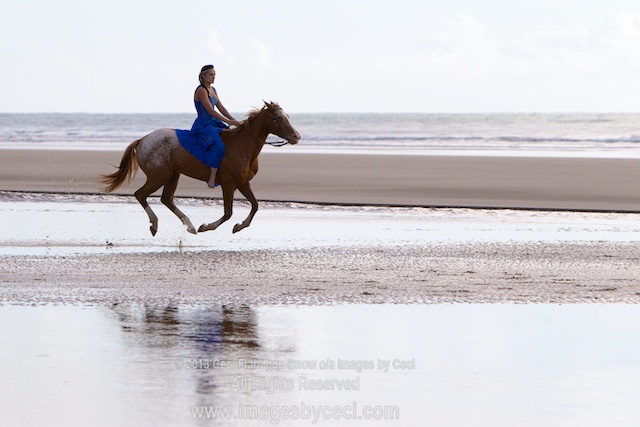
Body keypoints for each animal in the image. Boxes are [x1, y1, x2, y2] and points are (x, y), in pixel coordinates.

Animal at [100, 101, 300, 236]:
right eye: (278, 118)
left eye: (288, 117)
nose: (296, 136)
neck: (243, 145)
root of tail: (142, 139)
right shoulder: (228, 184)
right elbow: (228, 213)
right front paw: (207, 227)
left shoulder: (243, 183)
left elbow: (255, 205)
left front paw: (239, 226)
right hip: (159, 176)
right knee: (141, 195)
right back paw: (155, 224)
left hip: (173, 175)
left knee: (166, 199)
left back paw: (189, 226)